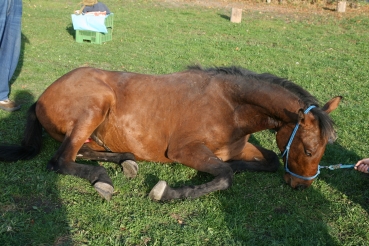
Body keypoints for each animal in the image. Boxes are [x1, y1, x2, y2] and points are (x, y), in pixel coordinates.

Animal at [0, 66, 340, 201]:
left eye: (323, 151)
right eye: (309, 150)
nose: (301, 186)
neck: (229, 105)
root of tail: (42, 97)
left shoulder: (238, 147)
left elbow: (267, 160)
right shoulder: (184, 150)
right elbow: (225, 176)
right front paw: (169, 192)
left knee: (82, 150)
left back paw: (125, 160)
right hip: (95, 105)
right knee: (60, 160)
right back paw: (101, 179)